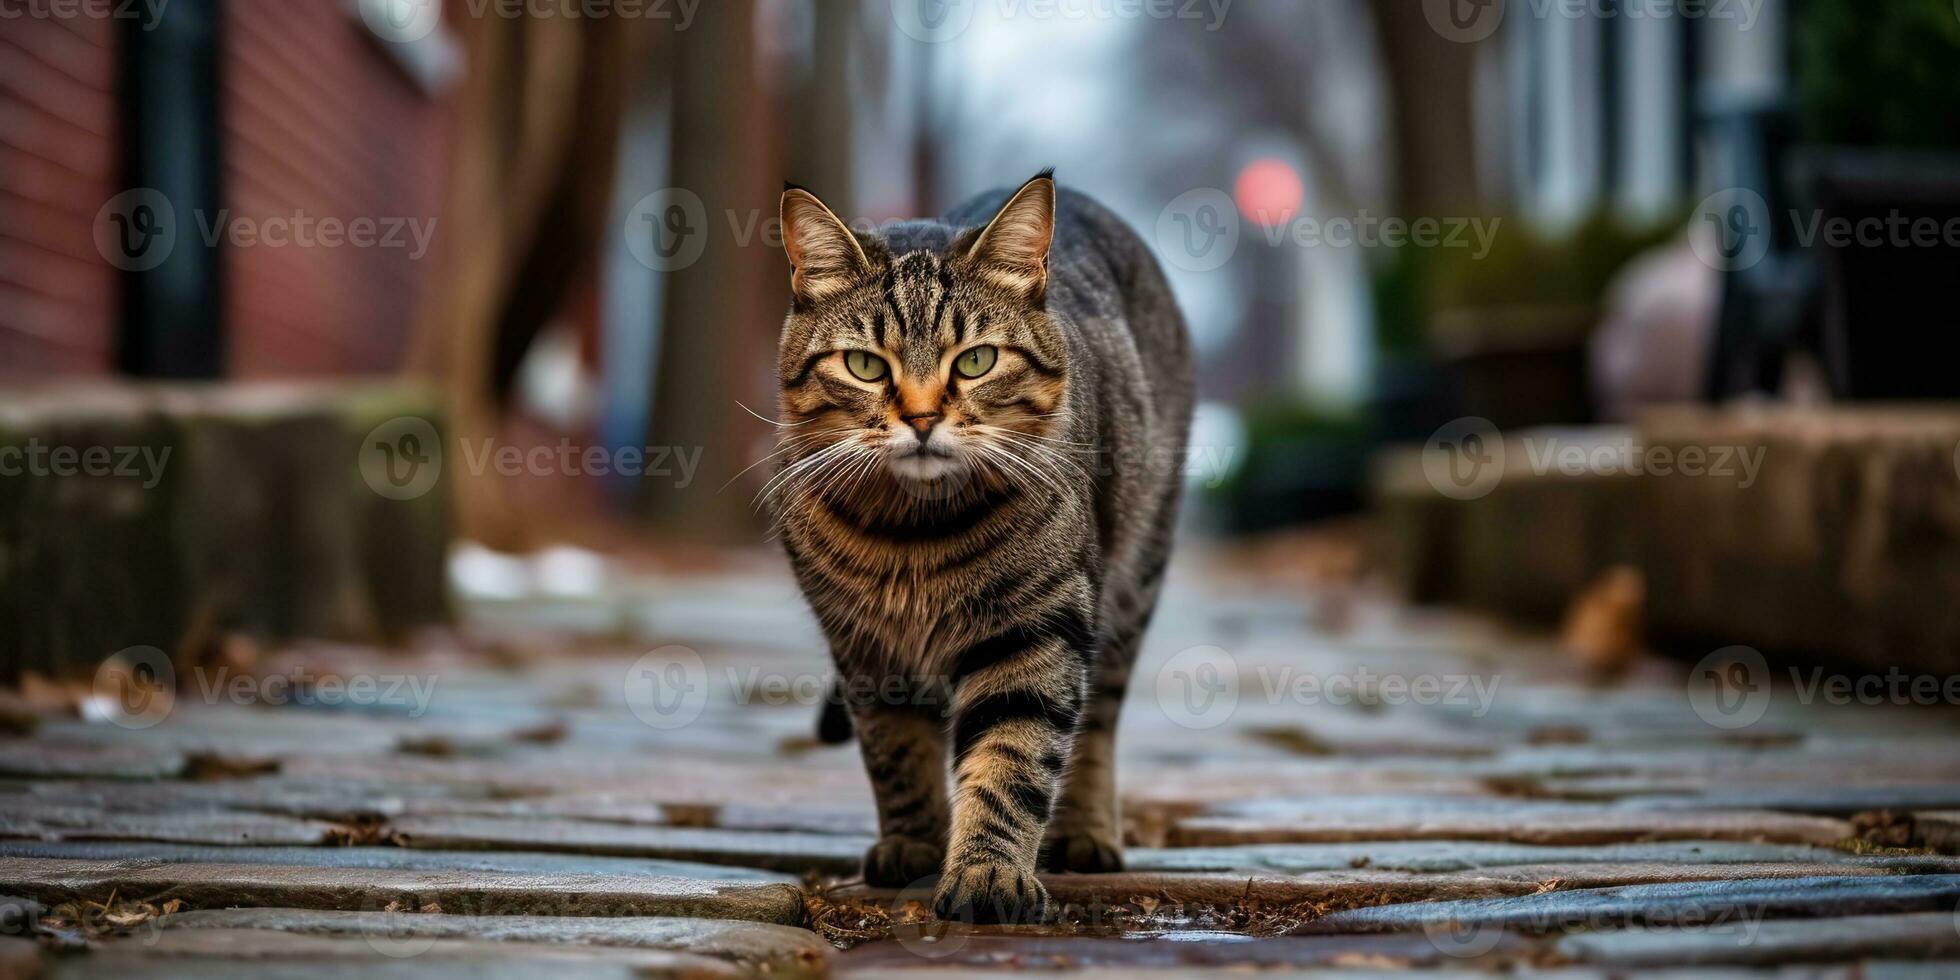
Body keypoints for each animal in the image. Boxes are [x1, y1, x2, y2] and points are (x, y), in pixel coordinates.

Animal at [768, 172, 1191, 921]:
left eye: (976, 360)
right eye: (864, 365)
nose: (921, 418)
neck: (911, 534)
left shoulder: (1034, 631)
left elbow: (1010, 759)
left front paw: (988, 872)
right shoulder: (864, 646)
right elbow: (895, 751)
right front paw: (915, 843)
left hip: (1132, 582)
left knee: (1099, 722)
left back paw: (1084, 833)